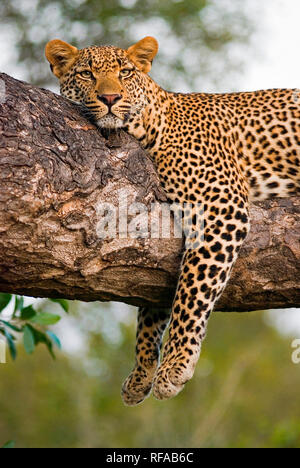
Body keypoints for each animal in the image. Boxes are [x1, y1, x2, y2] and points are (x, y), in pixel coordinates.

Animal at [45, 36, 300, 404]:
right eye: (86, 74)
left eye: (125, 72)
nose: (110, 98)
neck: (152, 124)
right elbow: (152, 308)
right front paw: (141, 372)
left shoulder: (221, 208)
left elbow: (192, 291)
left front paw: (174, 365)